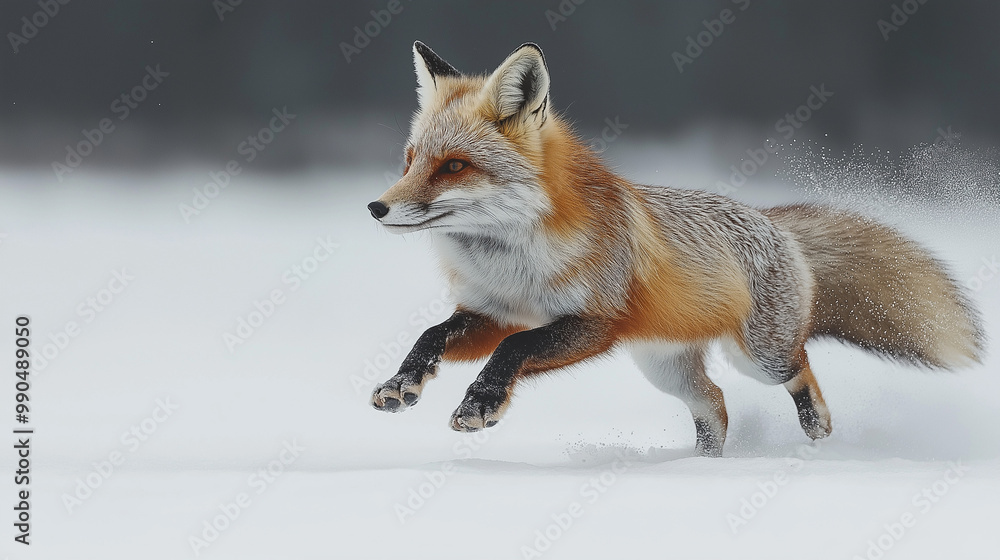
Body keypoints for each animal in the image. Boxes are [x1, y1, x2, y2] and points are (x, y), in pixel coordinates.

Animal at [366, 41, 985, 456]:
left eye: (454, 166)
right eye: (411, 160)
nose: (376, 208)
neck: (514, 264)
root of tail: (770, 220)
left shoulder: (596, 323)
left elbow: (512, 351)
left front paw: (480, 405)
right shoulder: (492, 311)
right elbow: (433, 335)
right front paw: (402, 384)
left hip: (759, 358)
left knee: (799, 367)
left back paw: (816, 431)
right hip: (665, 369)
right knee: (715, 404)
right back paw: (703, 468)